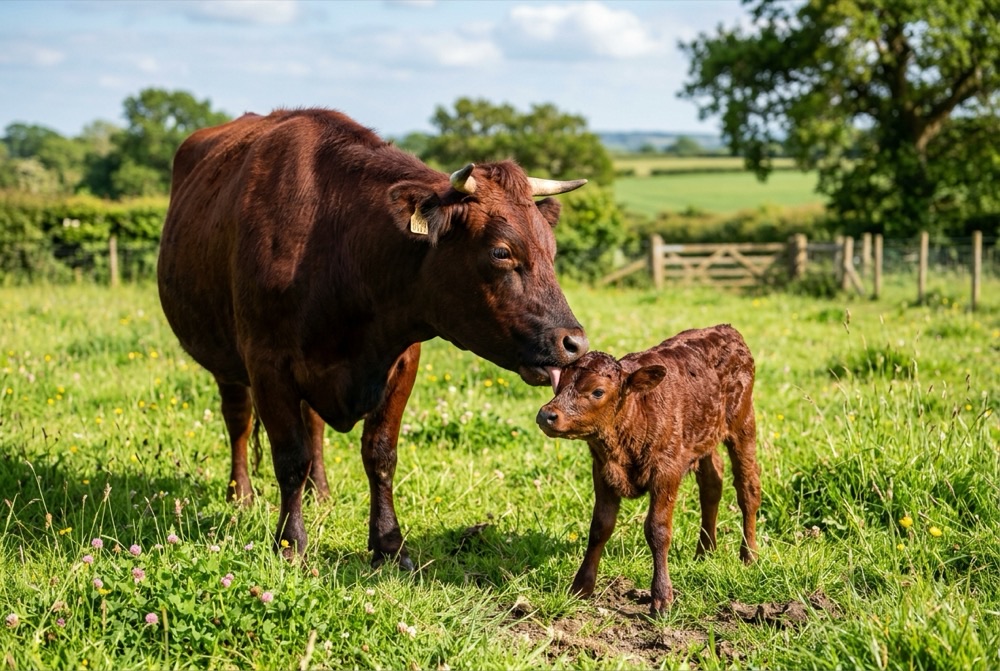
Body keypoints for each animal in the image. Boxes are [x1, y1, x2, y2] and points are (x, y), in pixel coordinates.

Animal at [157, 108, 589, 565]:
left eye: (552, 250)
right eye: (501, 252)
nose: (574, 342)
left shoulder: (402, 361)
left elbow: (379, 454)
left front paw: (388, 544)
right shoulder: (267, 364)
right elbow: (289, 457)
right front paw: (290, 544)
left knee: (313, 425)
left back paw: (320, 493)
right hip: (226, 359)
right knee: (238, 420)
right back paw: (240, 494)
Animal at [535, 324, 760, 614]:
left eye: (597, 391)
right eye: (559, 385)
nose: (546, 415)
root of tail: (725, 329)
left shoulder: (667, 470)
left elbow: (657, 530)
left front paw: (662, 598)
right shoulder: (603, 470)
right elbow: (600, 527)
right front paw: (581, 588)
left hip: (743, 423)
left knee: (748, 489)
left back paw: (749, 556)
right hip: (704, 435)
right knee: (712, 484)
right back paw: (705, 552)